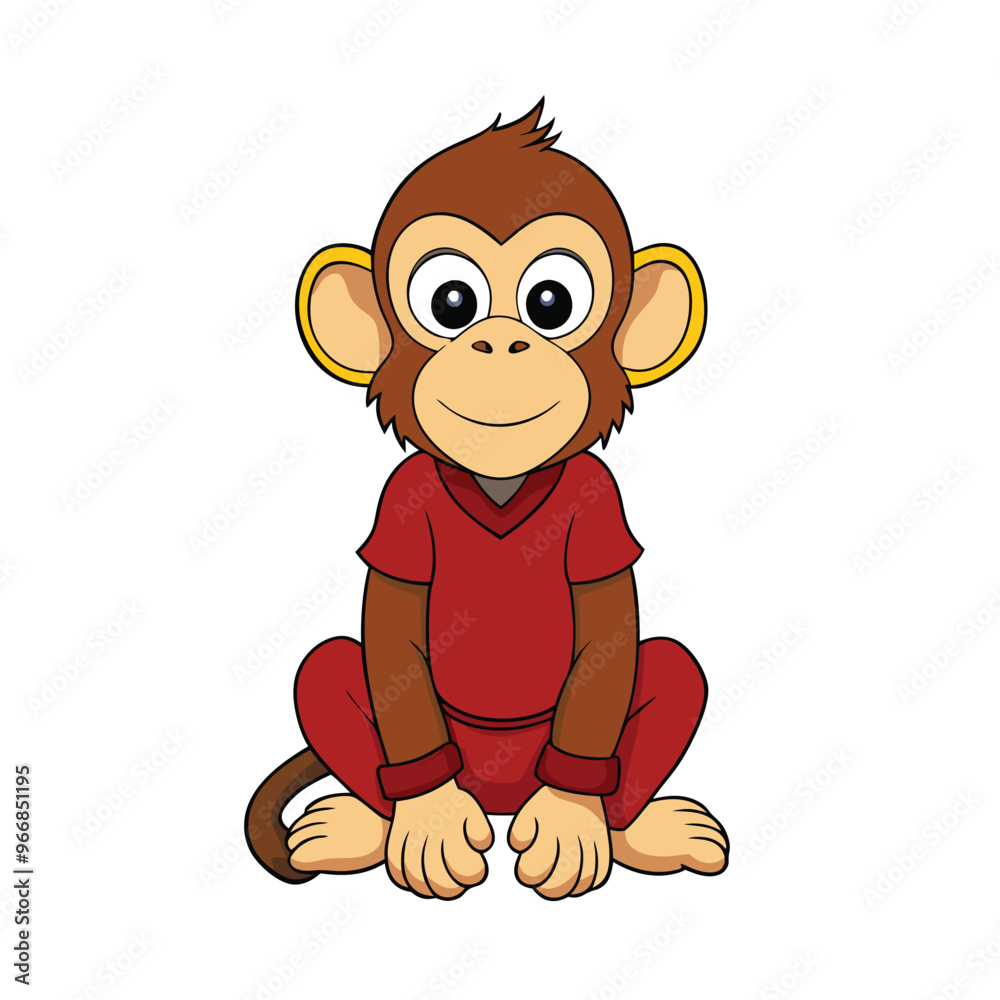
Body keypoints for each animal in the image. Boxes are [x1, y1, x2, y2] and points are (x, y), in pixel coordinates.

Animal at [245, 102, 728, 900]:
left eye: (551, 302)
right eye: (451, 302)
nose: (499, 345)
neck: (501, 480)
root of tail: (500, 804)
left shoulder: (601, 505)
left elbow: (611, 638)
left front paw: (569, 823)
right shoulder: (399, 508)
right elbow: (389, 636)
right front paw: (430, 826)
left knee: (671, 669)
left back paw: (638, 832)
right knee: (328, 669)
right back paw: (358, 828)